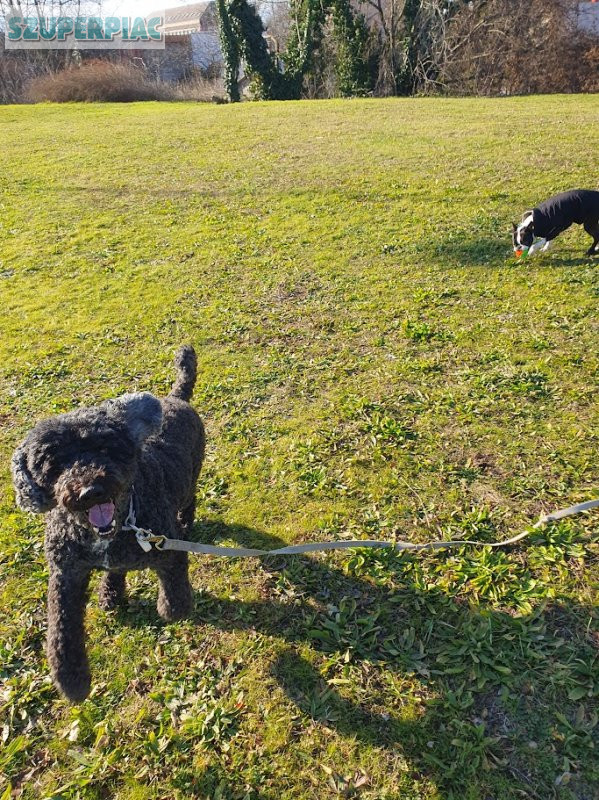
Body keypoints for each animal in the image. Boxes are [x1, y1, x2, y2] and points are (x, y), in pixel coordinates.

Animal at [9, 344, 204, 700]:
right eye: (52, 462)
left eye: (104, 448)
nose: (90, 491)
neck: (119, 527)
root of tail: (175, 397)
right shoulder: (66, 574)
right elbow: (61, 628)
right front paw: (71, 679)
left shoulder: (166, 546)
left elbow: (175, 584)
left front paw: (172, 608)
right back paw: (112, 593)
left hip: (188, 484)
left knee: (190, 499)